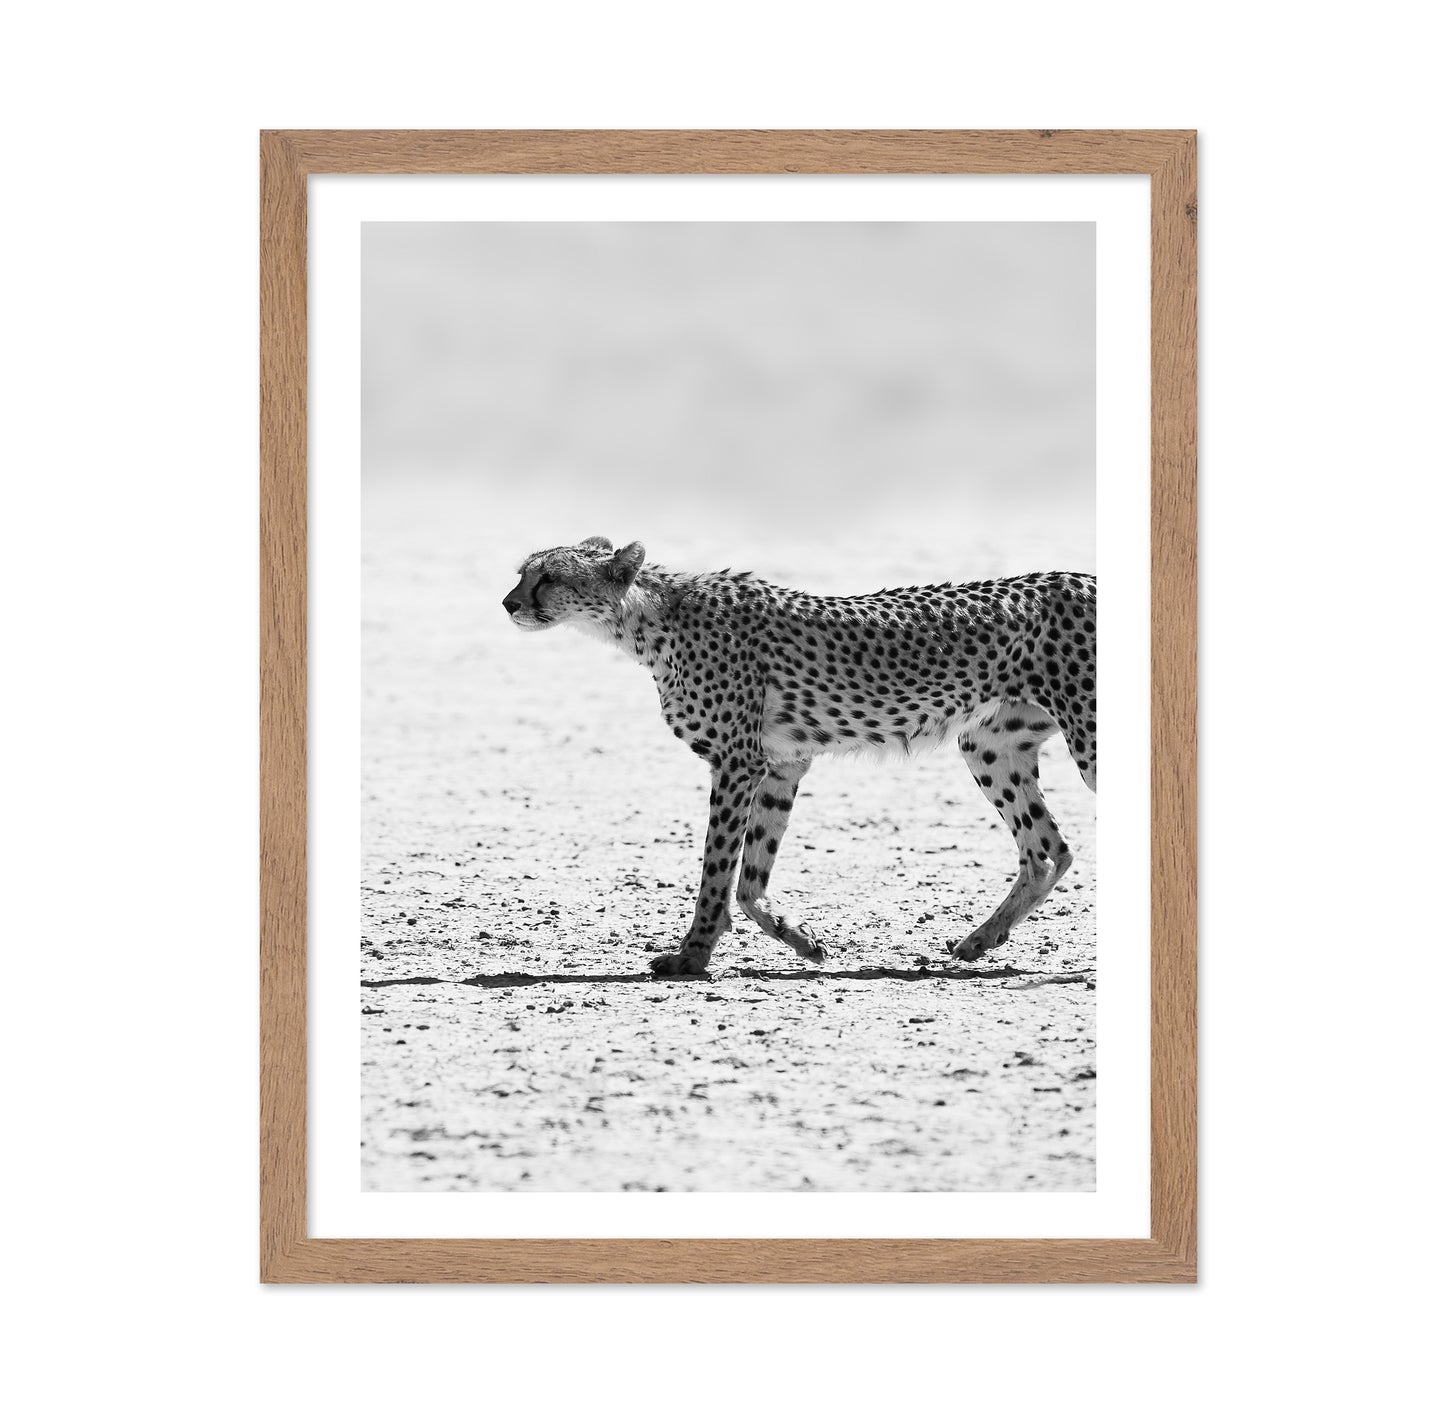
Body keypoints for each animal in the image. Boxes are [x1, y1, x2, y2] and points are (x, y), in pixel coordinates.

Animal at [502, 536, 1096, 977]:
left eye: (548, 577)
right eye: (523, 573)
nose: (509, 603)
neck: (648, 619)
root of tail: (1083, 576)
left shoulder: (738, 761)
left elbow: (717, 869)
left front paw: (692, 955)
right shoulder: (781, 763)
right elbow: (750, 877)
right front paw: (803, 941)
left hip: (1086, 738)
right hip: (989, 745)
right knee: (1048, 850)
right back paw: (980, 940)